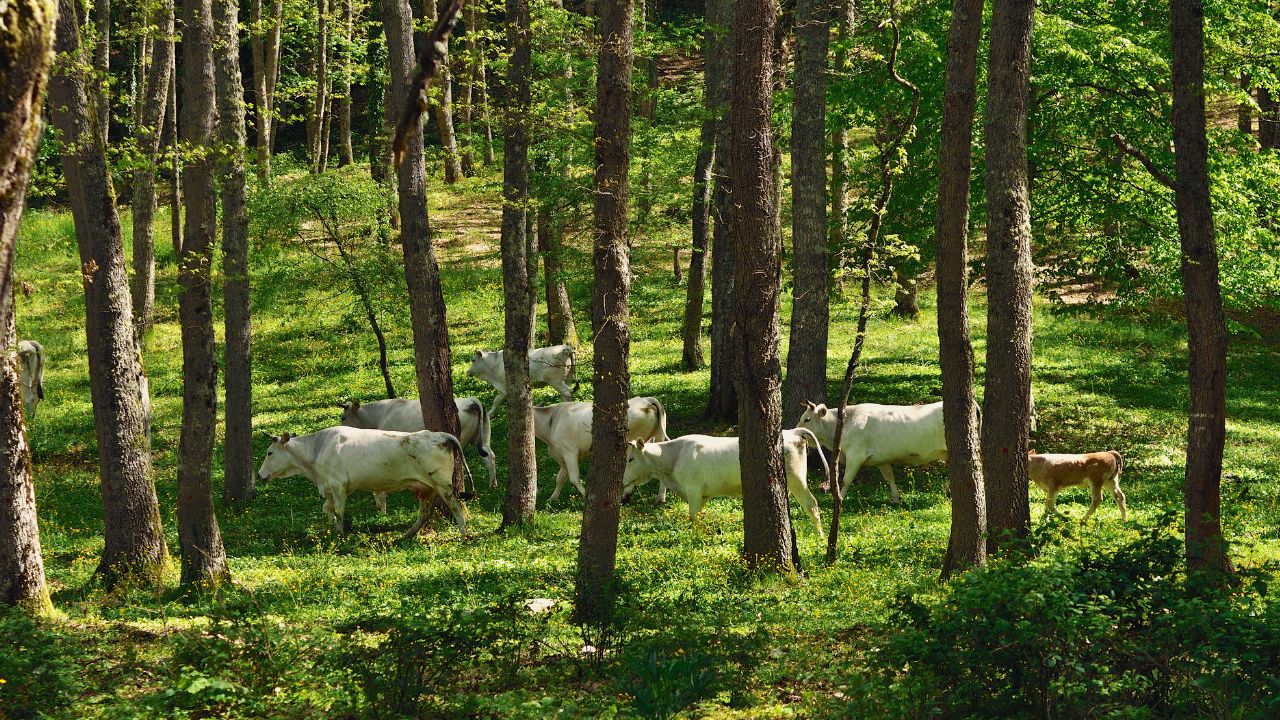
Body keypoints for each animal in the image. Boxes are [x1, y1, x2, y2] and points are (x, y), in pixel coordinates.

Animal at [253, 425, 471, 538]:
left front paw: (341, 534)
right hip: (426, 488)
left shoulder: (337, 485)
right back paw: (405, 536)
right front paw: (335, 528)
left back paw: (463, 534)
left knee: (456, 506)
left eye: (269, 452)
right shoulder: (332, 488)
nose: (260, 474)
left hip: (443, 485)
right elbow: (327, 509)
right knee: (424, 513)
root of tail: (439, 434)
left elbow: (338, 511)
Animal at [337, 392, 496, 499]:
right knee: (490, 457)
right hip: (482, 437)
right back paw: (492, 485)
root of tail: (472, 400)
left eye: (343, 417)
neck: (381, 414)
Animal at [537, 394, 675, 502]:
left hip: (632, 443)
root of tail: (646, 400)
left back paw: (626, 496)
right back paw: (660, 498)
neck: (552, 422)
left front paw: (585, 496)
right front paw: (552, 498)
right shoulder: (562, 456)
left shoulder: (570, 453)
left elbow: (574, 479)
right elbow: (559, 478)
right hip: (658, 437)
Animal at [619, 425, 829, 538]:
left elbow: (693, 517)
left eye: (630, 459)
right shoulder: (703, 495)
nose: (623, 481)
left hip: (797, 479)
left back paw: (820, 535)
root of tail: (792, 431)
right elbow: (698, 516)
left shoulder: (693, 490)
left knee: (811, 504)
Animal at [793, 397, 947, 504]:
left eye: (807, 419)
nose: (796, 433)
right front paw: (896, 499)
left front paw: (839, 498)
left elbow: (847, 480)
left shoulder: (855, 455)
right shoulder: (881, 459)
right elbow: (889, 477)